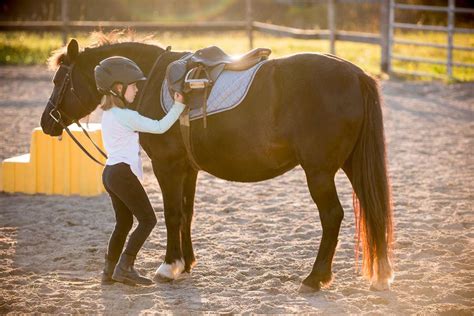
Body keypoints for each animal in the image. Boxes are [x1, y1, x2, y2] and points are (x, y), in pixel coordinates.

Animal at [40, 34, 394, 292]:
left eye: (59, 80)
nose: (46, 123)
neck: (150, 82)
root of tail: (356, 74)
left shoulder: (168, 166)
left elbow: (172, 214)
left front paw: (169, 265)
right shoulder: (188, 169)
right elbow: (187, 213)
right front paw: (186, 263)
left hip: (319, 172)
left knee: (332, 216)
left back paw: (315, 278)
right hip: (352, 165)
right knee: (373, 209)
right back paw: (381, 274)